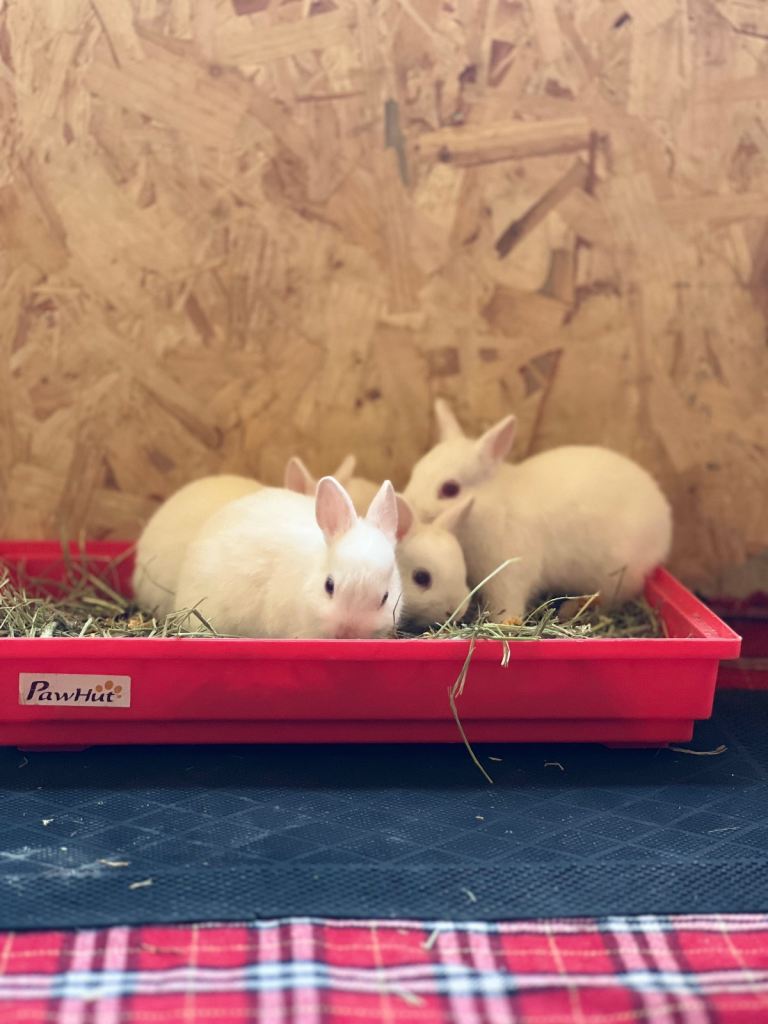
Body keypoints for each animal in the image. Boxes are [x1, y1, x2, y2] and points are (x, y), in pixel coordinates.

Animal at [403, 398, 673, 622]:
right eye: (415, 471)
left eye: (450, 489)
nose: (408, 503)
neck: (495, 507)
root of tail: (664, 523)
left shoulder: (509, 574)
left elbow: (508, 606)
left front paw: (504, 625)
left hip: (616, 576)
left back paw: (570, 610)